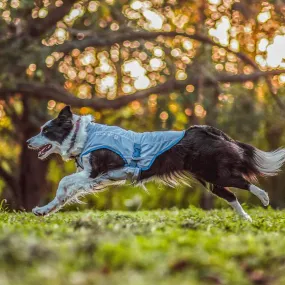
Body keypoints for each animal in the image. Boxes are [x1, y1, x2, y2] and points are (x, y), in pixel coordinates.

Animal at [26, 105, 284, 219]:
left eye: (45, 131)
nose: (28, 142)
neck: (83, 135)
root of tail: (205, 129)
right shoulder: (94, 177)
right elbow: (64, 194)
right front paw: (44, 210)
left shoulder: (93, 173)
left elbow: (63, 182)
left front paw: (46, 208)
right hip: (209, 178)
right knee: (230, 195)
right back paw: (245, 218)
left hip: (215, 173)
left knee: (245, 182)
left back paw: (264, 199)